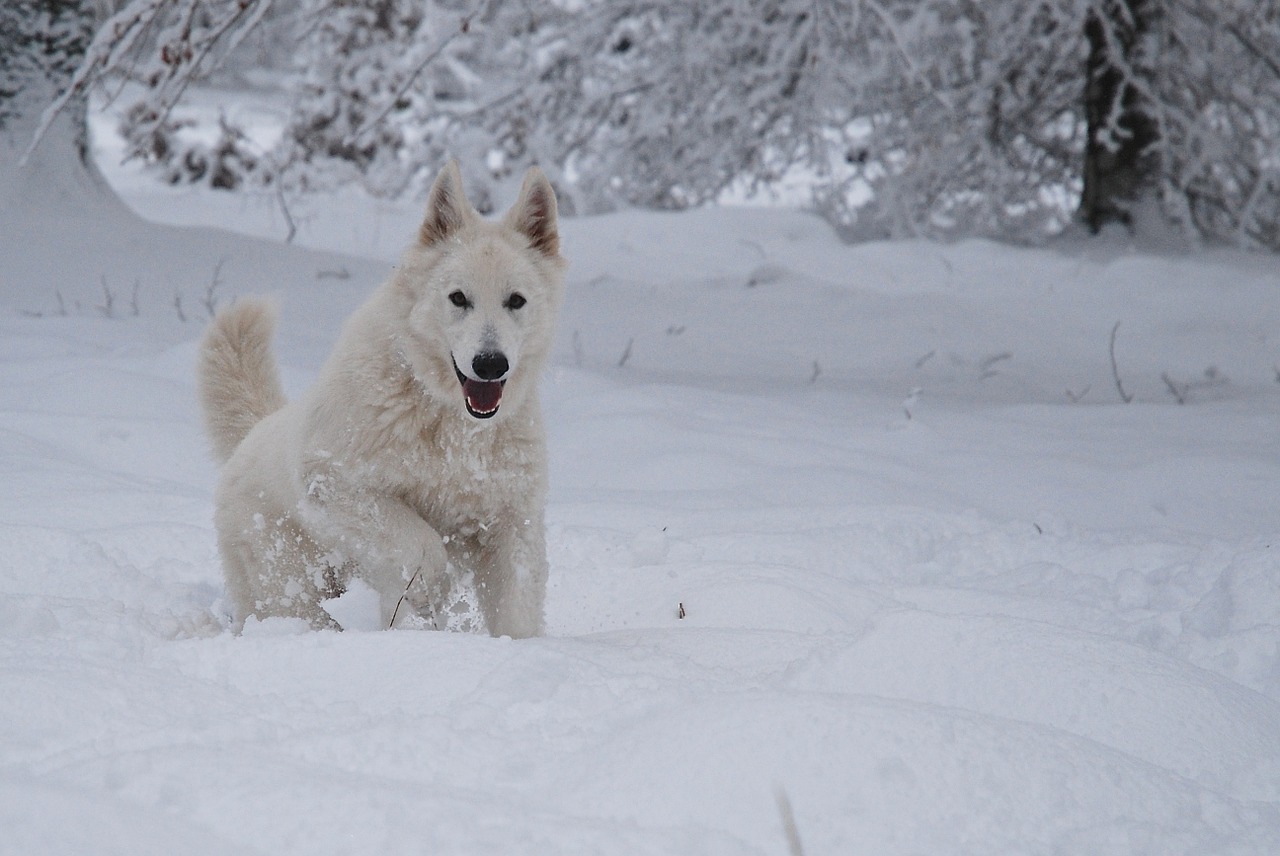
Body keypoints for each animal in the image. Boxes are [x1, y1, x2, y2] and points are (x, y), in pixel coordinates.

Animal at [195, 165, 565, 634]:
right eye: (458, 298)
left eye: (516, 301)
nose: (490, 364)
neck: (449, 423)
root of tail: (252, 434)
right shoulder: (338, 483)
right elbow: (425, 548)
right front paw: (421, 609)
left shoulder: (512, 523)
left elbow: (517, 609)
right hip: (293, 589)